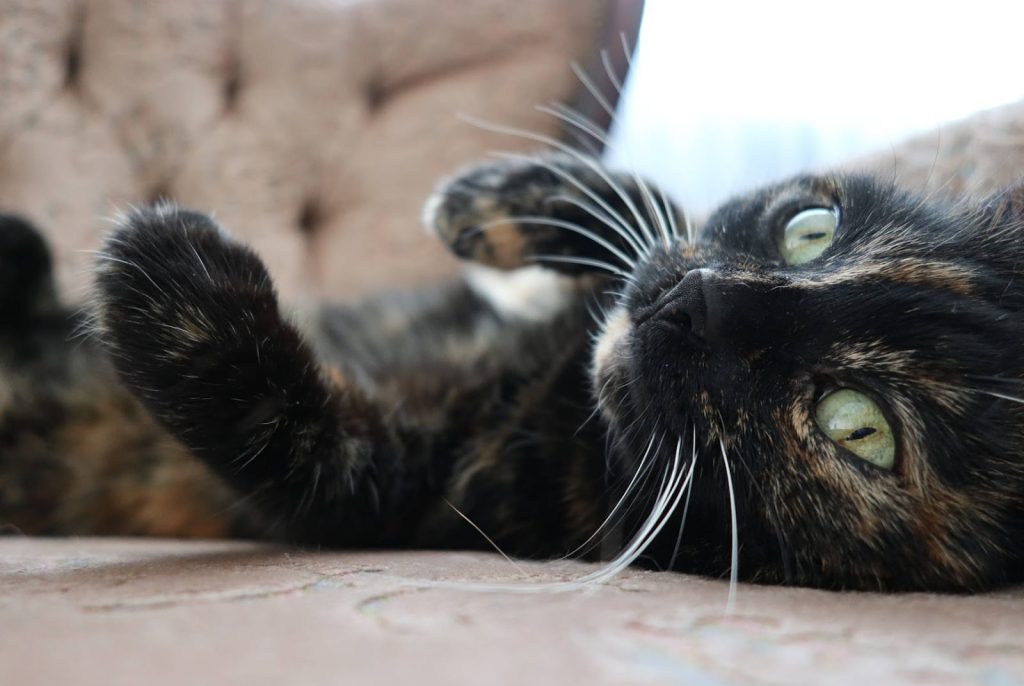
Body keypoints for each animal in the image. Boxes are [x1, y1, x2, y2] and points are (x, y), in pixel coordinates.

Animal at [2, 153, 1024, 593]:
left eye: (859, 427)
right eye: (810, 229)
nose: (691, 299)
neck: (558, 386)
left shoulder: (407, 494)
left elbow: (288, 434)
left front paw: (171, 277)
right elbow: (649, 199)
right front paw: (490, 201)